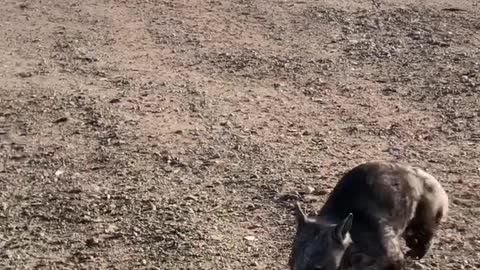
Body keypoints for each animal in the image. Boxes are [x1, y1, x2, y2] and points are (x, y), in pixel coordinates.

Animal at [288, 161, 450, 268]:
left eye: (318, 268)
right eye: (290, 263)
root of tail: (431, 177)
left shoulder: (386, 249)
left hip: (428, 207)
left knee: (423, 233)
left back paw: (415, 254)